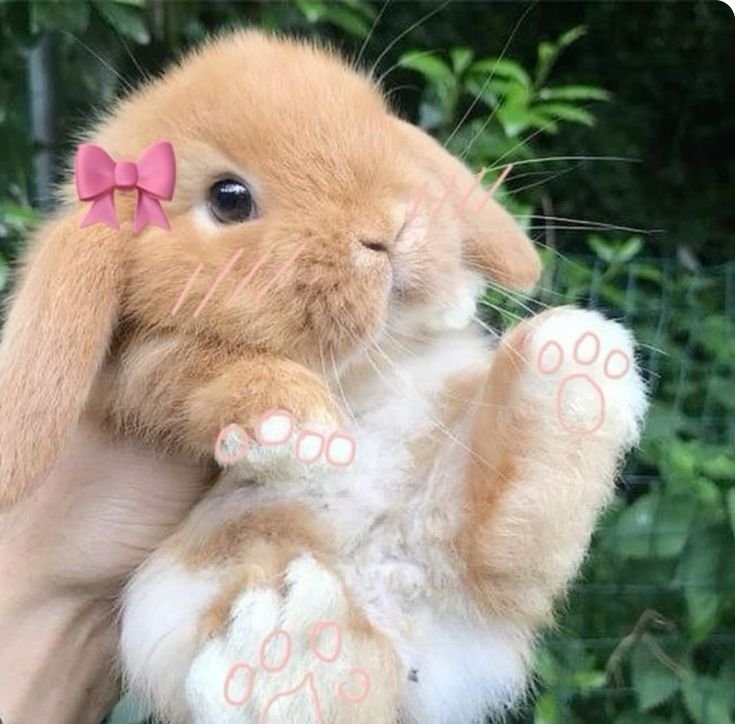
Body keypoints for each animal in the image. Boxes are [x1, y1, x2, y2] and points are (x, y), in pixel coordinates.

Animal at [0, 30, 648, 724]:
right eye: (228, 198)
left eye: (381, 132)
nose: (390, 230)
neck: (359, 365)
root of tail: (397, 597)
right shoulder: (138, 368)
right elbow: (184, 368)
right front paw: (297, 427)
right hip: (188, 588)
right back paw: (290, 649)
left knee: (498, 548)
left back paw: (578, 362)